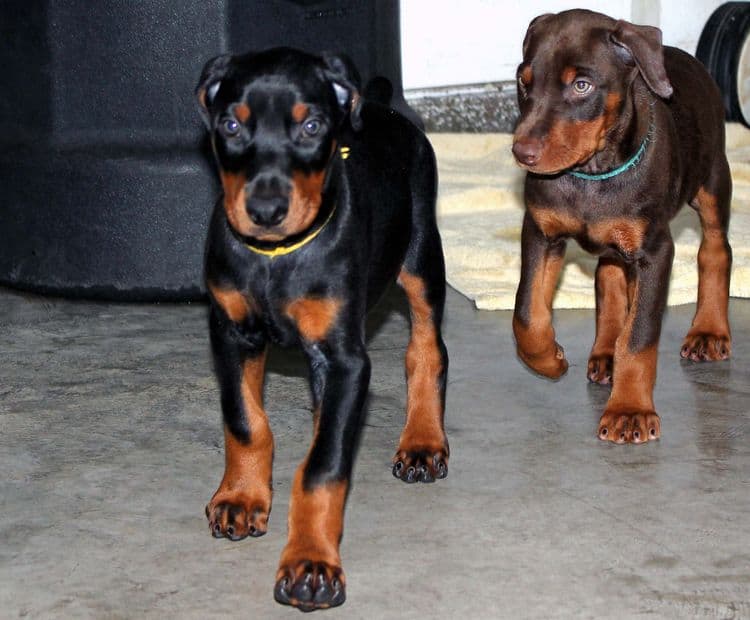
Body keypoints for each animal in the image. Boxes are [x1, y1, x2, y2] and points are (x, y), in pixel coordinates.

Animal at [197, 48, 450, 612]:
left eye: (311, 126)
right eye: (230, 125)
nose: (265, 211)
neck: (276, 257)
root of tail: (380, 104)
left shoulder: (345, 359)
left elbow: (322, 467)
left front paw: (309, 562)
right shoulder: (230, 334)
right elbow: (244, 421)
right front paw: (241, 496)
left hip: (422, 257)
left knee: (428, 349)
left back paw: (423, 440)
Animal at [512, 10, 736, 446]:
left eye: (581, 85)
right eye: (523, 81)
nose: (521, 153)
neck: (592, 173)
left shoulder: (655, 251)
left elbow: (640, 334)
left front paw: (629, 411)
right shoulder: (540, 231)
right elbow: (527, 313)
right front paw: (548, 359)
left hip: (712, 179)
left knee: (716, 250)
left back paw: (709, 330)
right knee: (610, 277)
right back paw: (605, 353)